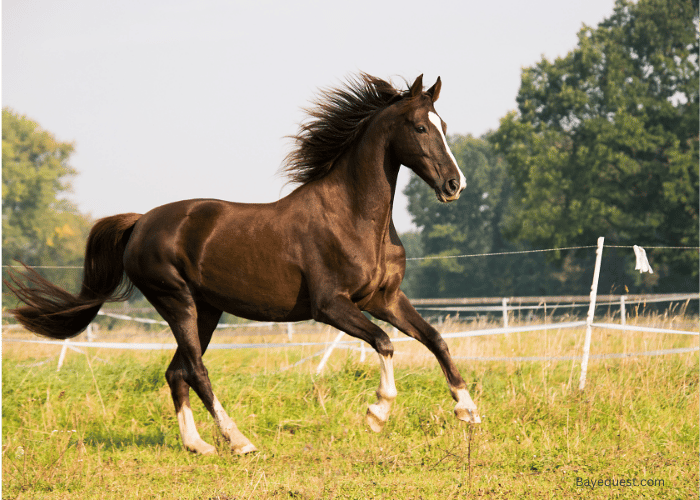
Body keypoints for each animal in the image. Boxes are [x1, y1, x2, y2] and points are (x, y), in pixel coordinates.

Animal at [6, 73, 482, 454]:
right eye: (420, 127)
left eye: (443, 126)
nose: (454, 185)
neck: (353, 217)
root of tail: (140, 222)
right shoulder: (331, 306)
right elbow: (384, 342)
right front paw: (377, 413)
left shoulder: (384, 299)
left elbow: (435, 339)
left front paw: (468, 410)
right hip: (176, 301)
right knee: (196, 370)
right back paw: (239, 441)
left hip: (206, 310)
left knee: (176, 371)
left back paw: (198, 445)